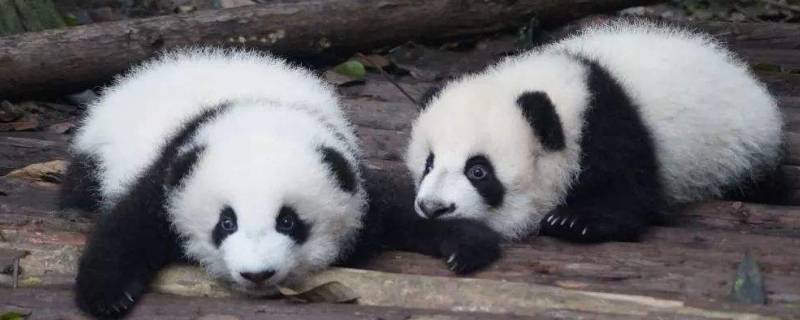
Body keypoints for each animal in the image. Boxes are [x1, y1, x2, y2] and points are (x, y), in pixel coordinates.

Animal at [61, 47, 370, 318]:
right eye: (226, 223)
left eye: (287, 221)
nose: (257, 275)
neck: (256, 111)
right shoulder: (170, 175)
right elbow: (129, 228)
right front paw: (107, 298)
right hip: (97, 150)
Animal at [406, 18, 780, 264]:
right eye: (428, 164)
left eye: (478, 171)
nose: (433, 208)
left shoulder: (610, 126)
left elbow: (630, 191)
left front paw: (575, 221)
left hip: (740, 151)